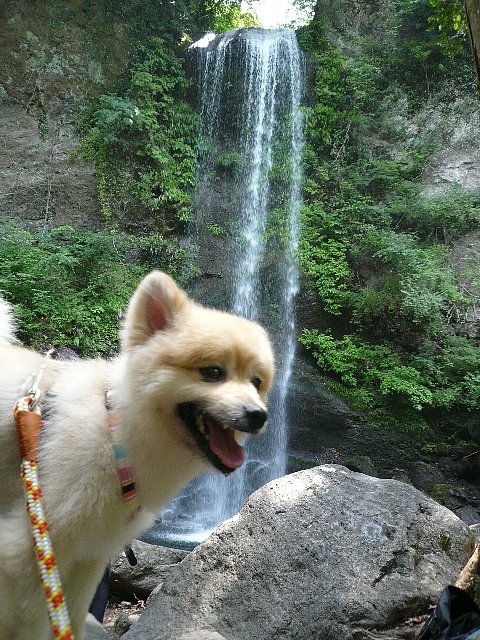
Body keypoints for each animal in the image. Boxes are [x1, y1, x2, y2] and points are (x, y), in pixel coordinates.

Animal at [0, 270, 274, 639]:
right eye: (213, 372)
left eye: (256, 382)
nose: (258, 415)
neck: (115, 432)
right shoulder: (26, 552)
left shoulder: (86, 556)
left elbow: (69, 620)